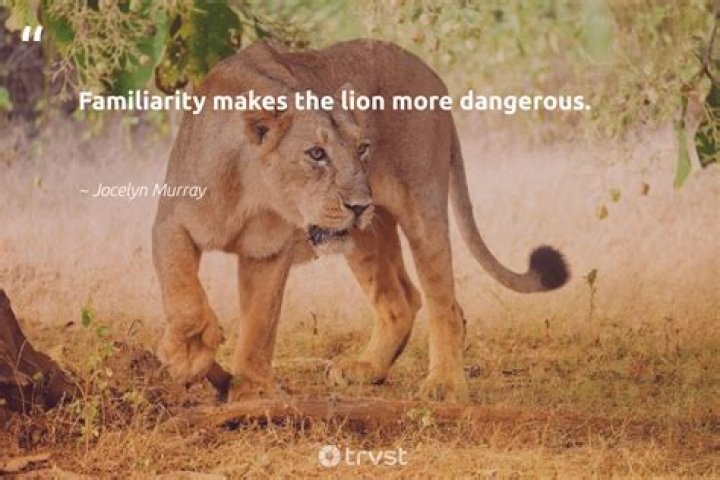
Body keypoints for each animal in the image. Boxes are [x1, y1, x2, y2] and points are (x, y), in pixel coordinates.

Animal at [153, 39, 569, 402]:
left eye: (363, 148)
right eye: (316, 153)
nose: (359, 204)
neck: (253, 195)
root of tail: (433, 75)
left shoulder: (270, 251)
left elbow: (260, 322)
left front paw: (247, 386)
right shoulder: (171, 222)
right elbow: (183, 292)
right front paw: (189, 352)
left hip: (422, 207)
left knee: (446, 304)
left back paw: (445, 384)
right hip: (367, 237)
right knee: (401, 299)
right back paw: (368, 368)